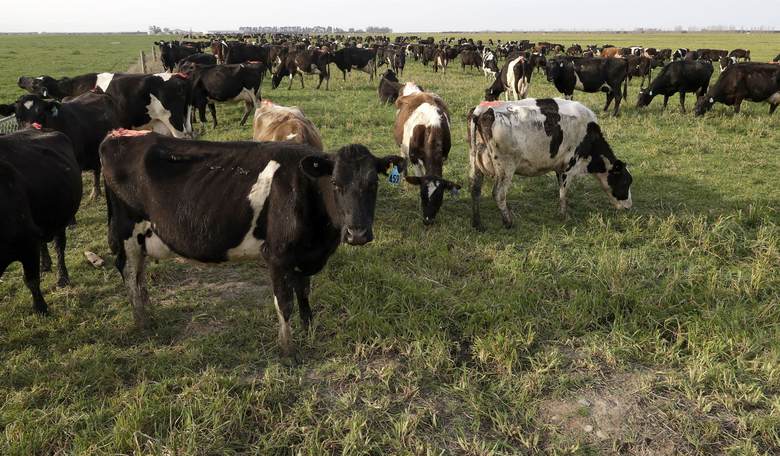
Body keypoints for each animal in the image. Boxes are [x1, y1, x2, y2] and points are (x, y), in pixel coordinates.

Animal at [0, 129, 82, 313]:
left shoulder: (27, 243)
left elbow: (31, 280)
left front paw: (40, 308)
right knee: (44, 242)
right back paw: (45, 264)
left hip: (60, 219)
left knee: (59, 247)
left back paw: (62, 277)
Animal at [100, 130, 404, 357]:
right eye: (336, 184)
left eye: (373, 184)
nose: (358, 234)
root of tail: (117, 135)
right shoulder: (277, 254)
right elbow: (285, 302)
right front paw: (288, 350)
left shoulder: (303, 254)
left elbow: (304, 293)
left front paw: (309, 331)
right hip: (127, 230)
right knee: (129, 273)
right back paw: (142, 323)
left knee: (139, 275)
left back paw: (148, 314)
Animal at [393, 83, 459, 224]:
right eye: (422, 195)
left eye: (439, 197)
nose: (428, 220)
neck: (432, 127)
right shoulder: (414, 158)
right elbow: (420, 176)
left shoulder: (443, 157)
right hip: (402, 146)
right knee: (403, 158)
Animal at [467, 99, 633, 230]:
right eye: (625, 182)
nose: (629, 206)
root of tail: (482, 110)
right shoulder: (568, 167)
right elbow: (563, 193)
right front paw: (564, 216)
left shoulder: (559, 167)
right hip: (506, 167)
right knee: (499, 193)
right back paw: (508, 222)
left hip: (475, 163)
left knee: (475, 189)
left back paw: (477, 223)